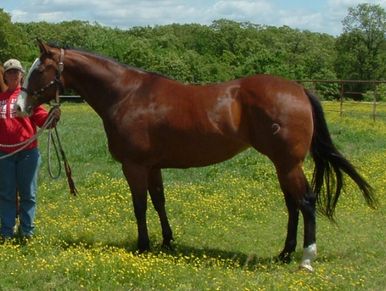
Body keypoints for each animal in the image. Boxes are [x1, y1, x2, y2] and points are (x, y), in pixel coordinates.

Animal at [16, 41, 376, 274]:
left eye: (40, 70)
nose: (20, 106)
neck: (127, 95)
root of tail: (298, 90)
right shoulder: (153, 166)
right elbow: (159, 202)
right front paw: (167, 241)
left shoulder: (135, 166)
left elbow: (139, 205)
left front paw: (143, 246)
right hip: (283, 165)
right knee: (292, 205)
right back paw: (285, 252)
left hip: (288, 164)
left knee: (306, 202)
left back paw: (305, 258)